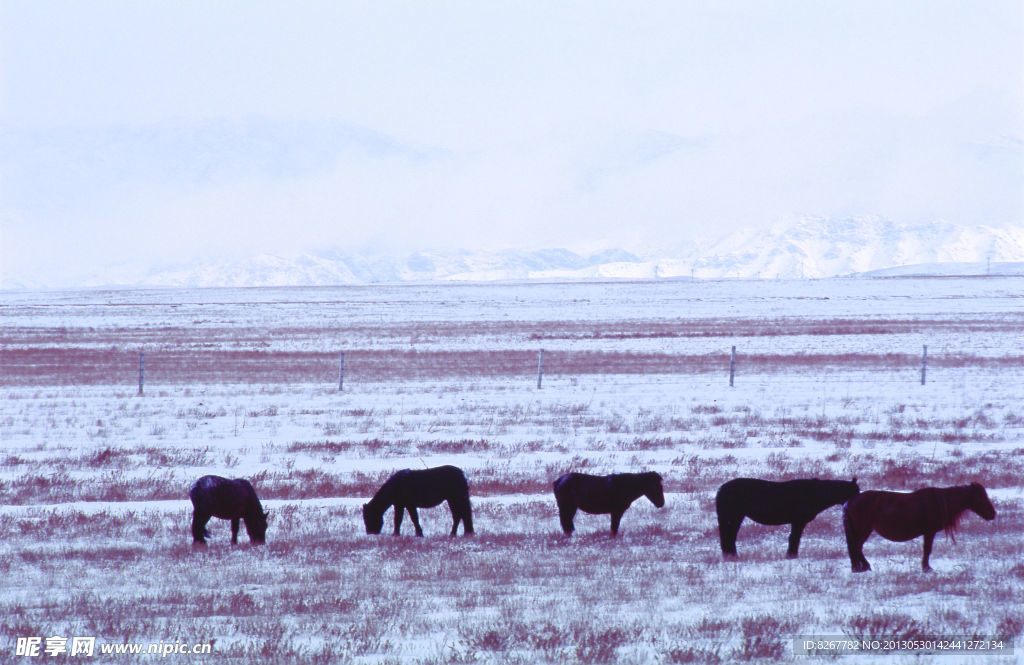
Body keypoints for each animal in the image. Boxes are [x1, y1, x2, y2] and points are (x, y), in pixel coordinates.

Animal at [716, 475, 860, 557]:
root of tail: (721, 489)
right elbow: (794, 538)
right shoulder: (798, 521)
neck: (816, 493)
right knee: (728, 536)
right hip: (733, 517)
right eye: (854, 491)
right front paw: (792, 555)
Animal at [843, 481, 995, 569]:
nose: (992, 514)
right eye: (980, 497)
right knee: (856, 546)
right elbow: (927, 549)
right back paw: (865, 566)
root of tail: (851, 500)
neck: (940, 502)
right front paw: (926, 568)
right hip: (863, 529)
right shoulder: (929, 532)